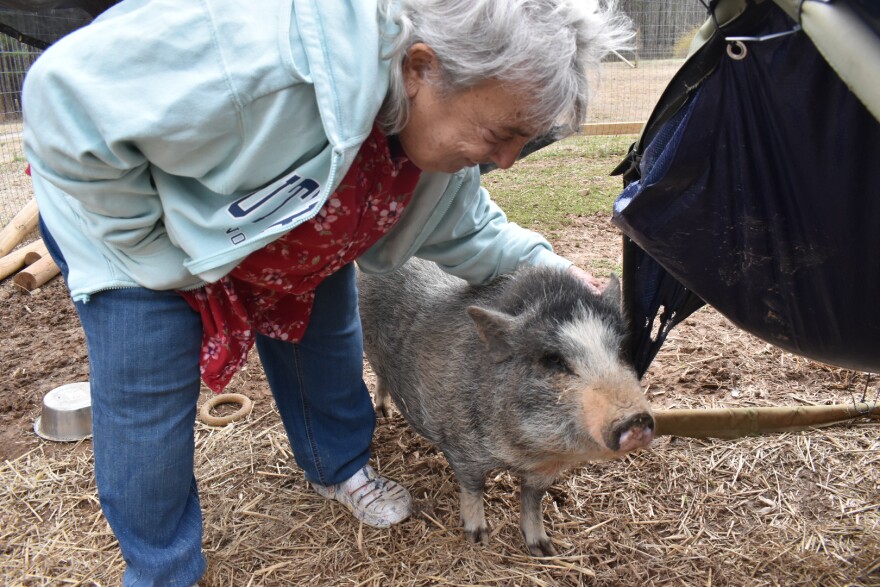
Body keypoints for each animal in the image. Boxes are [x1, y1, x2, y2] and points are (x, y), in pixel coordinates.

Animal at [357, 258, 653, 556]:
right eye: (553, 359)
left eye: (621, 351)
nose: (637, 419)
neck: (524, 453)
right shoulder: (460, 447)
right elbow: (474, 489)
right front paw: (478, 539)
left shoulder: (543, 472)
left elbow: (533, 502)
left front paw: (544, 550)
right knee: (380, 375)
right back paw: (383, 413)